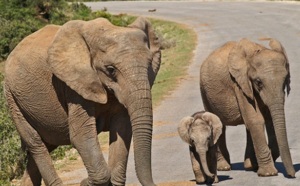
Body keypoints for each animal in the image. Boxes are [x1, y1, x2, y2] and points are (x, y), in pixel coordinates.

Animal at [3, 16, 161, 185]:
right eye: (110, 69)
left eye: (149, 64)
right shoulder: (73, 86)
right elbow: (80, 135)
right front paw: (84, 182)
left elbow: (122, 128)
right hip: (12, 99)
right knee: (36, 144)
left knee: (43, 147)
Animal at [199, 37, 296, 177]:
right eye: (258, 82)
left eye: (285, 81)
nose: (292, 175)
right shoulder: (239, 84)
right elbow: (256, 120)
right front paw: (268, 173)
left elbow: (268, 119)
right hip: (204, 91)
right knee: (218, 123)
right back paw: (224, 167)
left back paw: (250, 166)